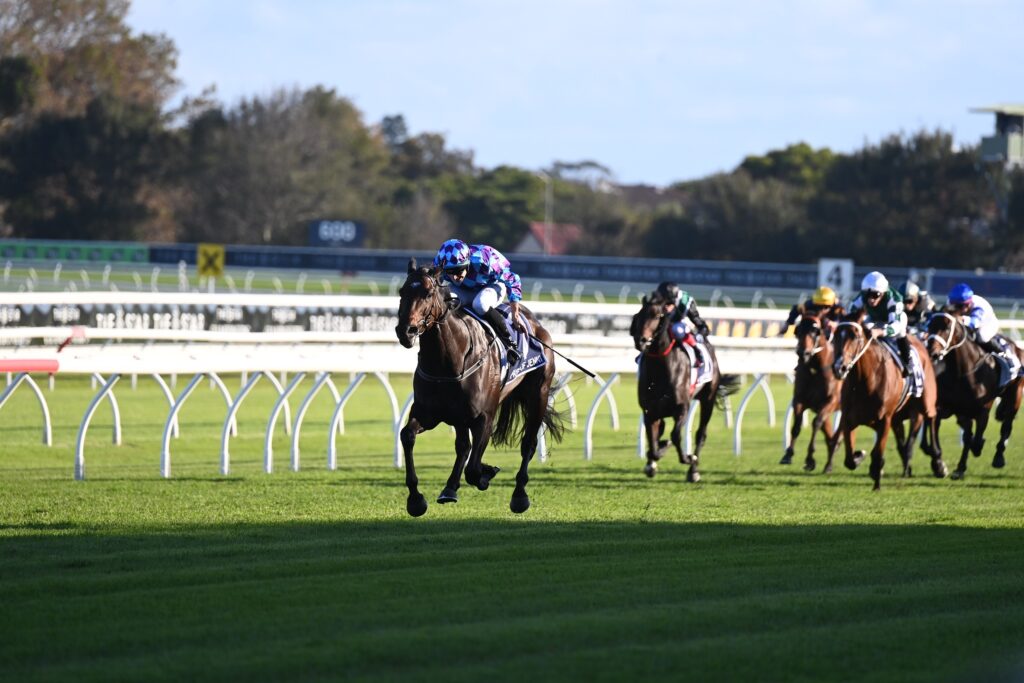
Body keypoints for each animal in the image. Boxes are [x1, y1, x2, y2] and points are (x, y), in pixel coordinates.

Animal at [393, 259, 569, 516]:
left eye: (428, 292)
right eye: (402, 291)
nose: (406, 331)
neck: (448, 362)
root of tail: (535, 324)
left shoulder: (484, 416)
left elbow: (474, 469)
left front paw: (487, 473)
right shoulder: (429, 413)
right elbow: (407, 435)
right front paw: (416, 499)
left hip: (538, 394)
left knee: (528, 444)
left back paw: (519, 495)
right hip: (459, 416)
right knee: (463, 447)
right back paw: (450, 488)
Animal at [626, 292, 741, 481]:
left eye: (657, 316)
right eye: (638, 315)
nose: (640, 340)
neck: (660, 371)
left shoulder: (682, 408)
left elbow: (675, 435)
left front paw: (687, 458)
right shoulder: (649, 411)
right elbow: (654, 441)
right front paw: (652, 461)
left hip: (707, 400)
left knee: (701, 434)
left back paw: (693, 470)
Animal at [782, 313, 839, 471]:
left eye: (815, 331)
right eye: (798, 330)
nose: (803, 353)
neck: (815, 369)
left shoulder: (830, 401)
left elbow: (816, 423)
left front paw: (809, 458)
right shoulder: (800, 399)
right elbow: (796, 426)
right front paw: (788, 454)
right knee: (830, 436)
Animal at [827, 315, 946, 491]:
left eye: (854, 336)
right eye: (835, 336)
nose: (838, 367)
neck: (866, 382)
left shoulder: (885, 420)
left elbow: (877, 454)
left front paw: (876, 482)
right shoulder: (849, 420)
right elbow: (849, 458)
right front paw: (860, 456)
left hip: (926, 401)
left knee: (931, 418)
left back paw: (938, 463)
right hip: (898, 417)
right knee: (903, 441)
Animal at [925, 313, 1019, 479]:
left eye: (946, 327)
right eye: (929, 326)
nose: (931, 351)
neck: (962, 372)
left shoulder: (983, 410)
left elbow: (975, 438)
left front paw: (978, 447)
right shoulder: (948, 407)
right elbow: (943, 431)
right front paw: (940, 466)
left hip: (1015, 396)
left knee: (1007, 424)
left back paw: (999, 457)